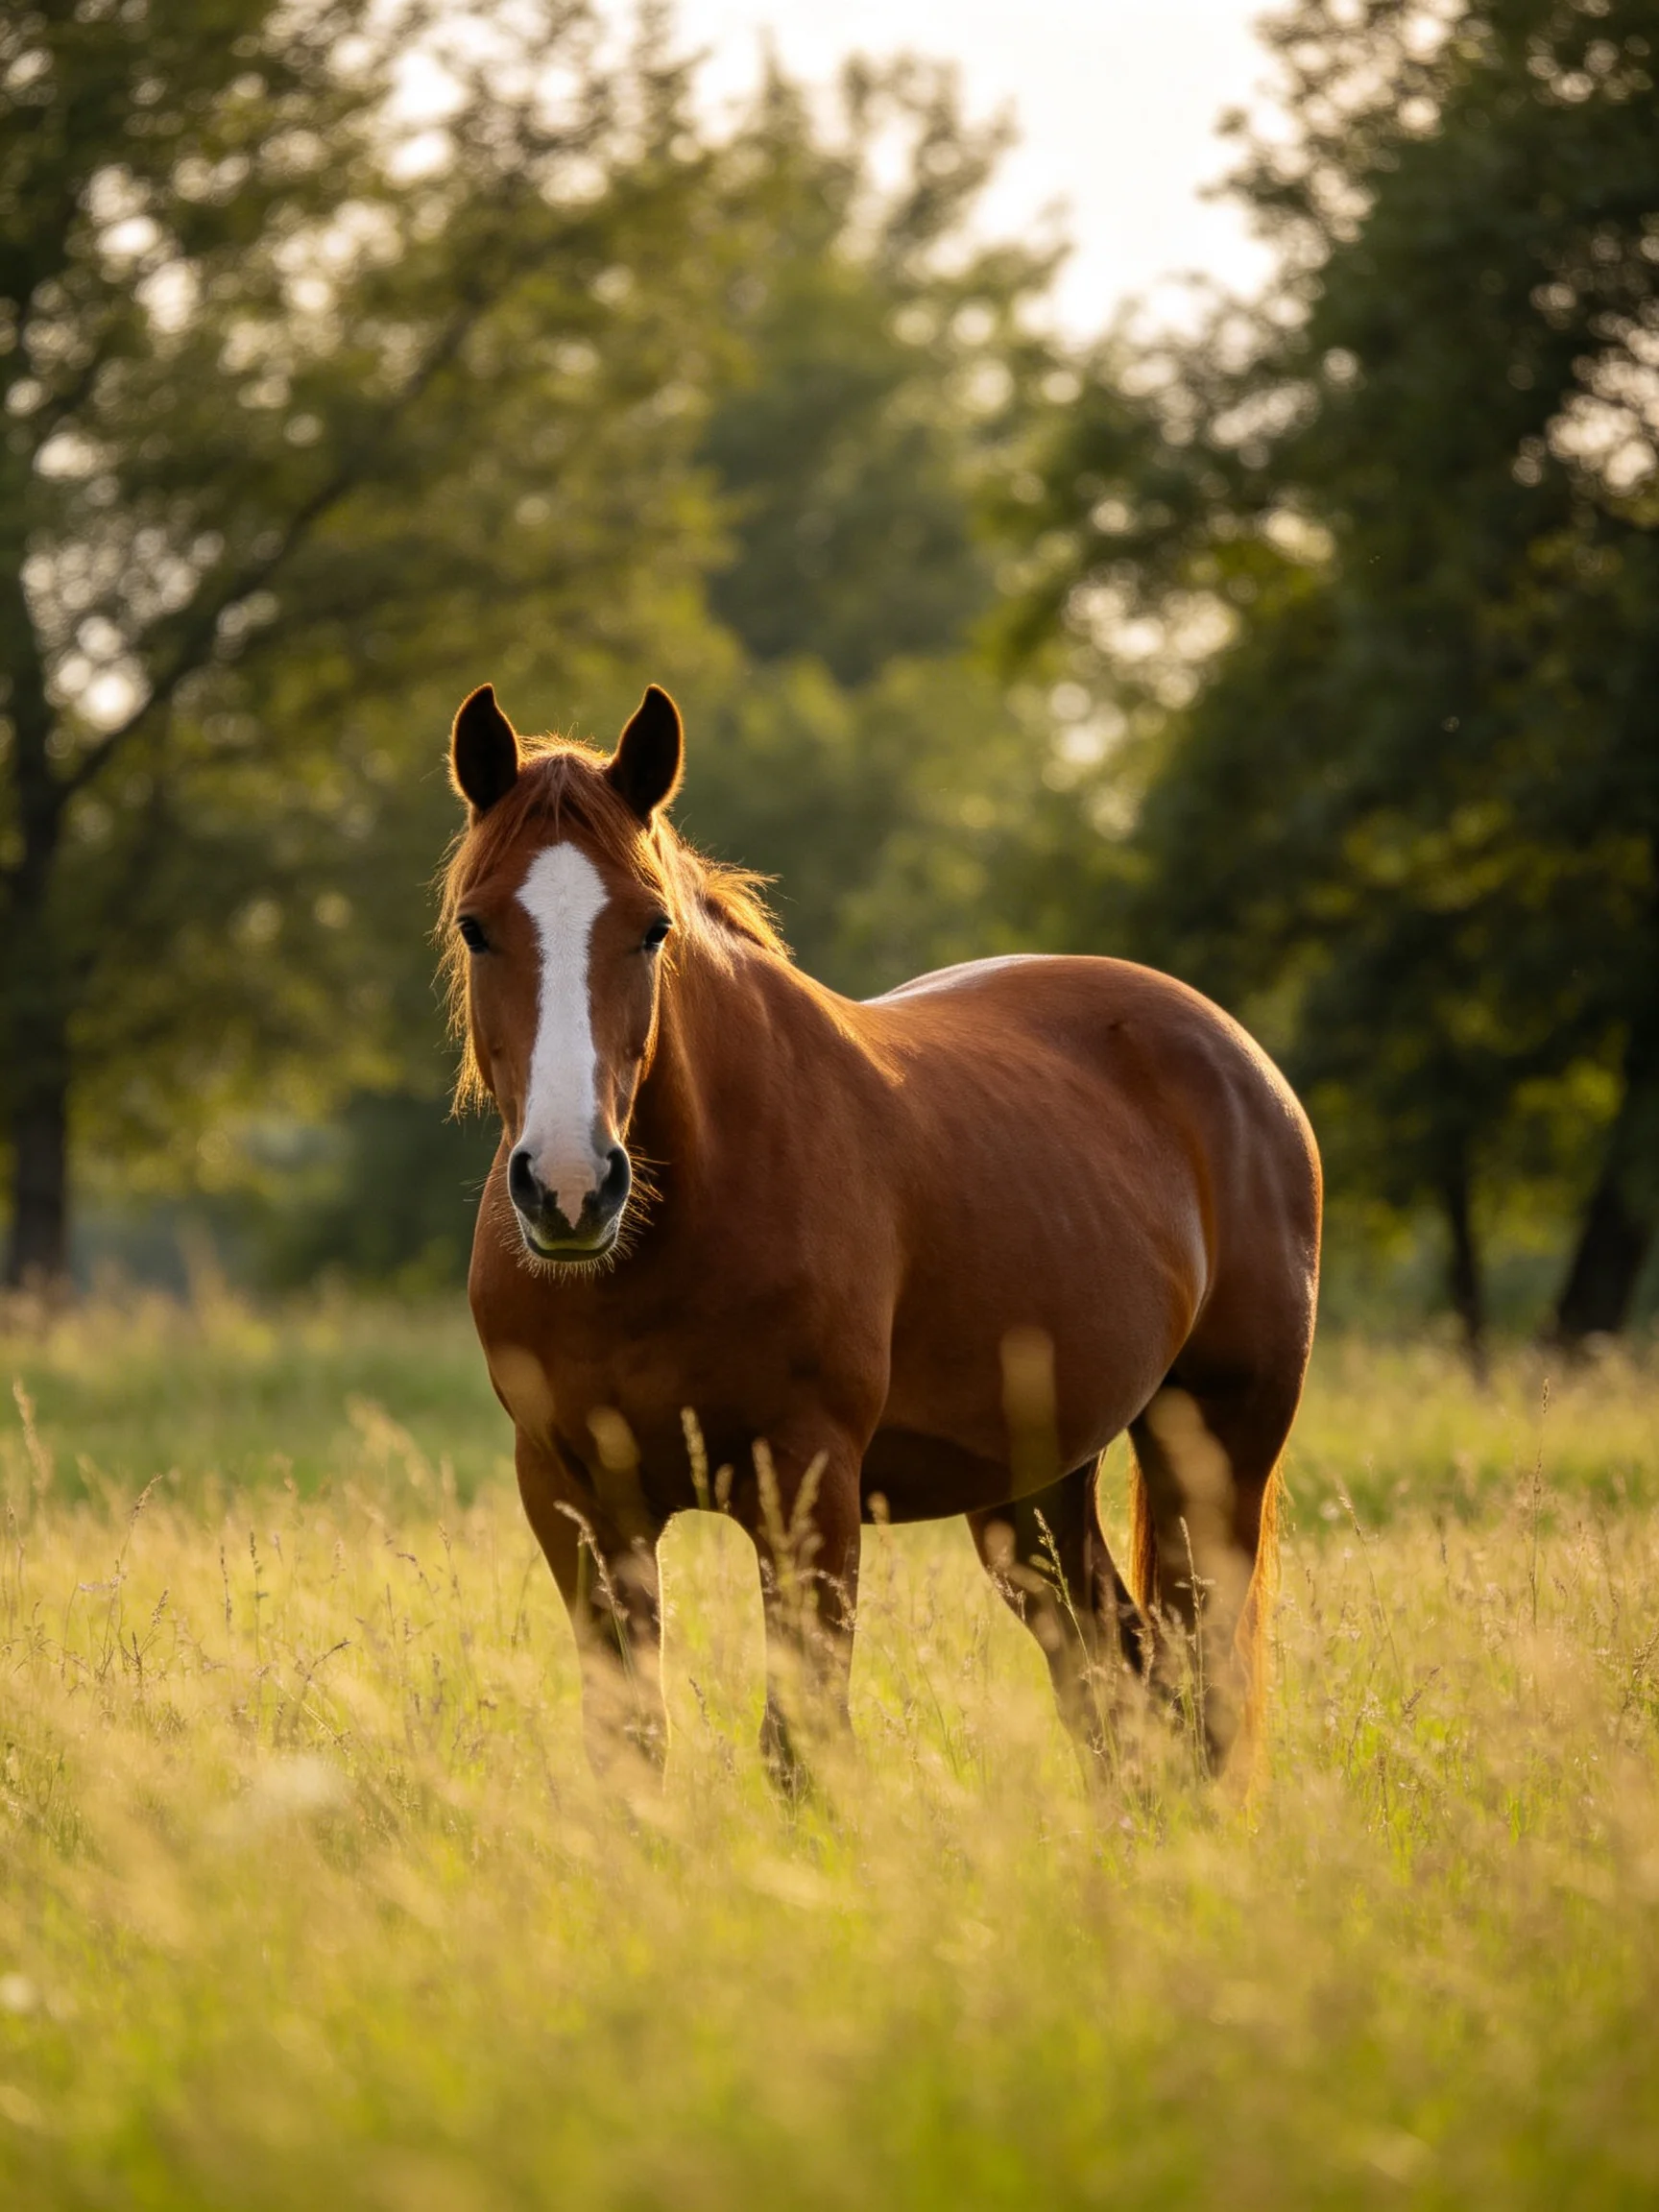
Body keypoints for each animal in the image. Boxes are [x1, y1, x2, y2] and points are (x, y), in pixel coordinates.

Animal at [440, 680, 1321, 1782]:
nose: (570, 1188)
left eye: (651, 929)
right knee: (1117, 1687)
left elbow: (801, 1747)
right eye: (477, 928)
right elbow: (631, 1746)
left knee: (1199, 1692)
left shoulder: (809, 1490)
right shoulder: (580, 1503)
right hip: (1034, 1492)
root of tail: (1244, 1063)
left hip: (1214, 1451)